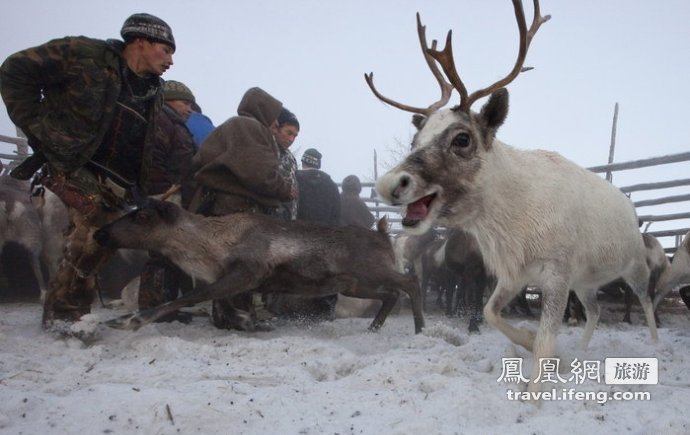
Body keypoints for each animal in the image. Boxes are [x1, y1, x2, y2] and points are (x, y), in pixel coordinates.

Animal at [92, 199, 424, 336]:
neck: (212, 247)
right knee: (390, 295)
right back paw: (373, 327)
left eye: (142, 216)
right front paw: (249, 321)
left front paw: (128, 321)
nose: (100, 234)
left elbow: (191, 296)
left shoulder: (250, 270)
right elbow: (221, 302)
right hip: (354, 284)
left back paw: (420, 328)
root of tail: (384, 233)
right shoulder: (238, 280)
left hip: (372, 271)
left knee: (409, 283)